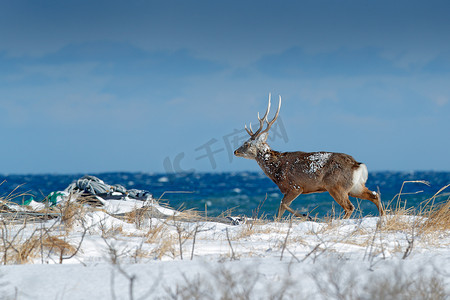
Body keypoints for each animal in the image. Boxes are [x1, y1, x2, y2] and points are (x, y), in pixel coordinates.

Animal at [234, 95, 384, 219]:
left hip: (336, 186)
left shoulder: (295, 186)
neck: (276, 170)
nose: (235, 151)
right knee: (375, 195)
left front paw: (307, 216)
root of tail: (358, 165)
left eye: (246, 144)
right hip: (355, 186)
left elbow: (283, 205)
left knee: (350, 207)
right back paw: (382, 217)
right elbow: (280, 209)